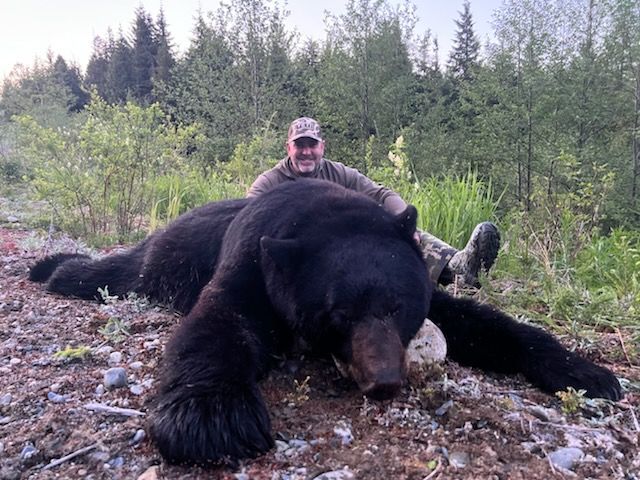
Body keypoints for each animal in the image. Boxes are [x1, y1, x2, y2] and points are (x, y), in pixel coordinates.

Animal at [31, 177, 624, 464]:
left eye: (395, 307)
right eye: (338, 313)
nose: (384, 380)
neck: (323, 217)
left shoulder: (423, 287)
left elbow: (484, 324)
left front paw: (588, 372)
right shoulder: (255, 263)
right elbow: (218, 324)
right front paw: (212, 416)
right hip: (166, 260)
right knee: (120, 272)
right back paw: (54, 268)